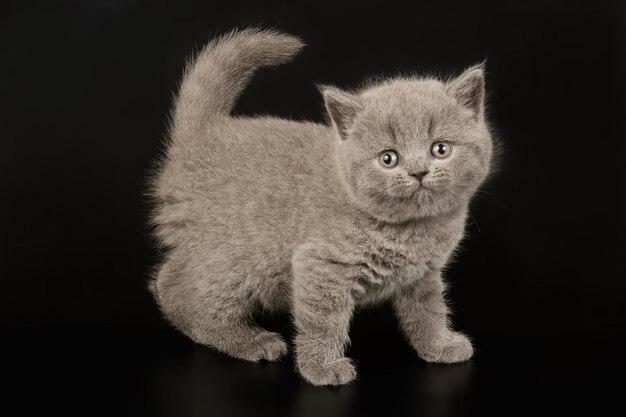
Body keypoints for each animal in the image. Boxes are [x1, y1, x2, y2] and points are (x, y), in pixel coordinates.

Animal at [150, 27, 492, 386]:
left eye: (441, 149)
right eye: (388, 158)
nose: (419, 172)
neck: (414, 229)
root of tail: (201, 135)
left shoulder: (422, 275)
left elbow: (428, 311)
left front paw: (439, 345)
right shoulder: (320, 265)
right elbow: (322, 321)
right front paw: (322, 367)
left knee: (168, 278)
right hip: (235, 257)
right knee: (189, 293)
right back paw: (250, 341)